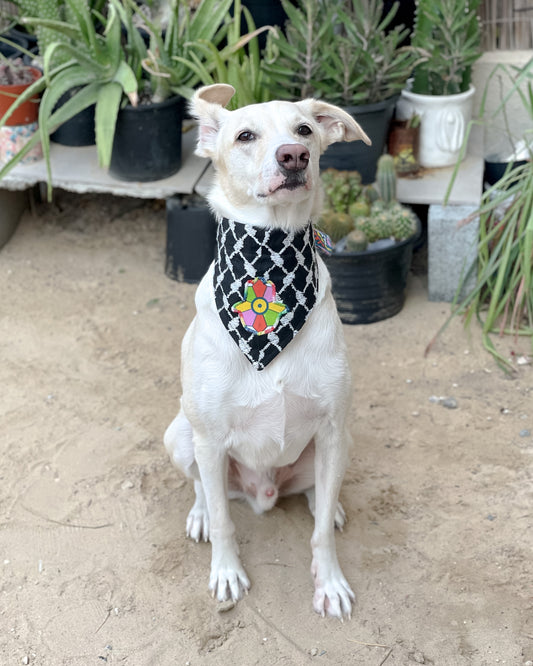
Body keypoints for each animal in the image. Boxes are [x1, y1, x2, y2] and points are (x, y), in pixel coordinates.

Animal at [163, 84, 370, 616]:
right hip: (181, 435)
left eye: (305, 129)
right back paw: (200, 514)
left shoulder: (333, 429)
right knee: (204, 488)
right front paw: (226, 572)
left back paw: (329, 506)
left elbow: (319, 536)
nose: (294, 155)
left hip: (341, 443)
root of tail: (263, 492)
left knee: (319, 493)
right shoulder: (210, 439)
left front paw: (329, 582)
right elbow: (224, 522)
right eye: (245, 136)